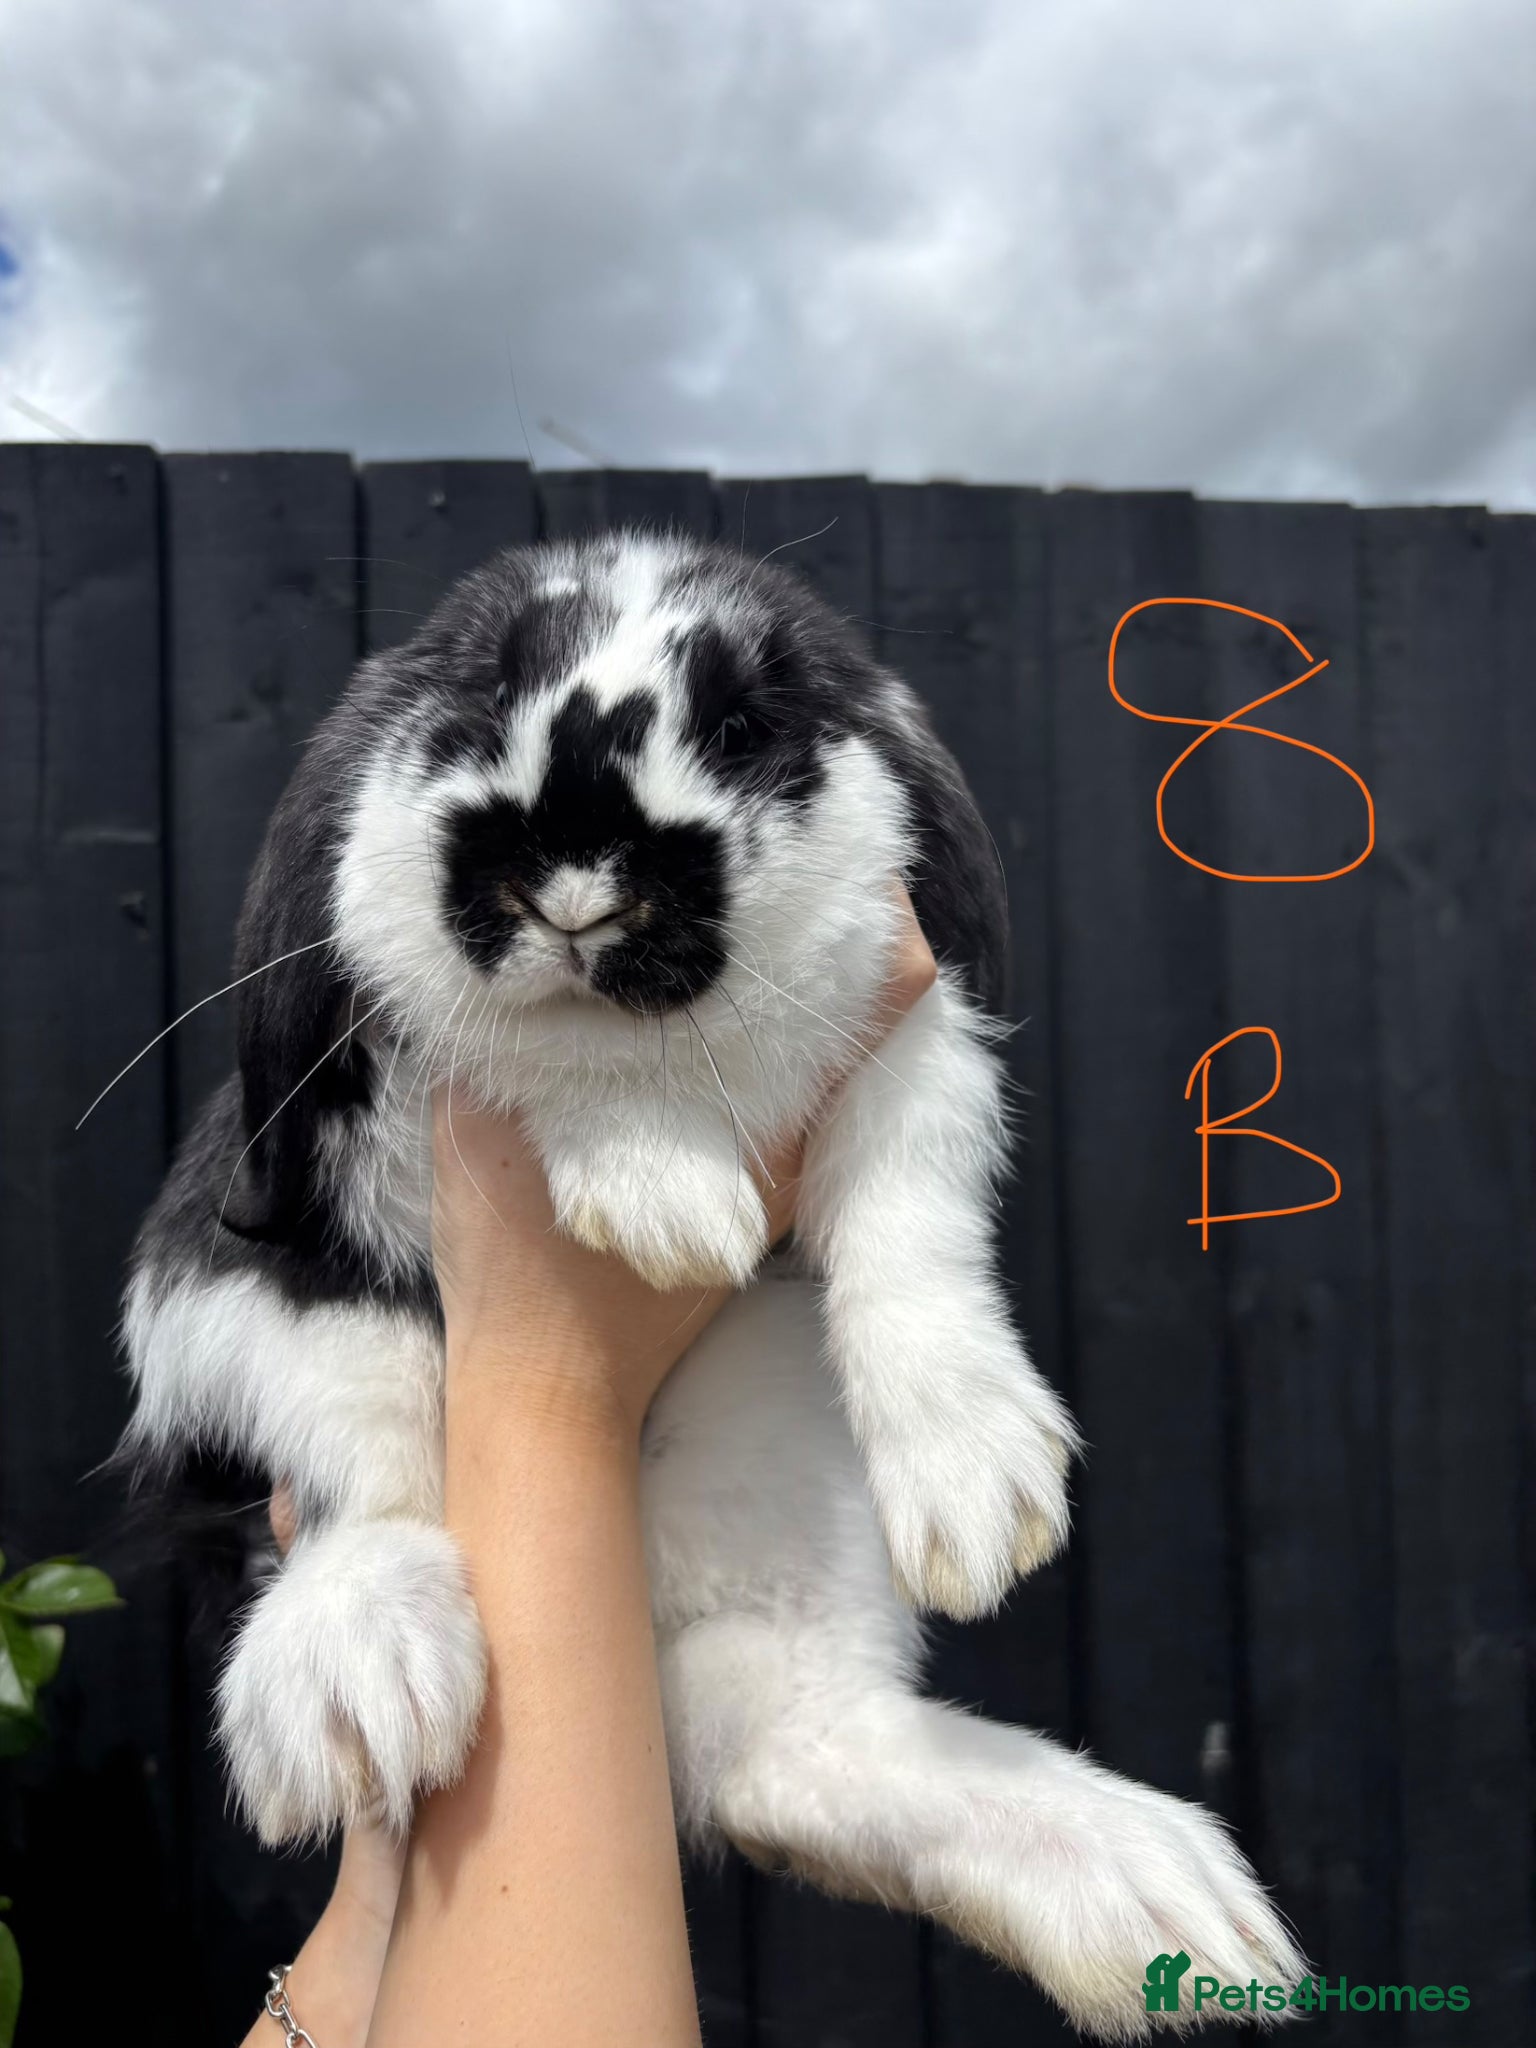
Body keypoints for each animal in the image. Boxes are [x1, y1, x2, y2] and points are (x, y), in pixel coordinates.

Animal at [119, 529, 1303, 2038]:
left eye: (743, 726)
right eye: (475, 698)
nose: (575, 877)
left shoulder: (914, 1054)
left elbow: (911, 1225)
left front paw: (982, 1486)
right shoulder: (272, 1204)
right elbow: (484, 1156)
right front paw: (662, 1194)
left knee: (787, 1748)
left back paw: (1149, 1891)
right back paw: (347, 1680)